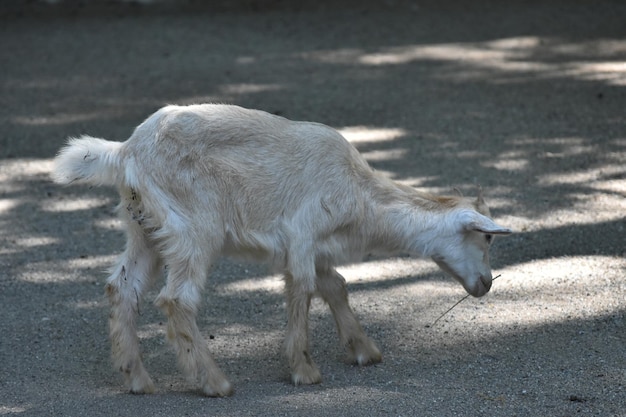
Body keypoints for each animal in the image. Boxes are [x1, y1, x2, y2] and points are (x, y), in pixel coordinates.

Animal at [52, 104, 512, 396]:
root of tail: (126, 153)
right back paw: (214, 383)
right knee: (176, 299)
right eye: (487, 237)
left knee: (121, 288)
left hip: (144, 228)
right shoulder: (303, 234)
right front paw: (304, 370)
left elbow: (335, 285)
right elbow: (304, 289)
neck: (362, 198)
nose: (486, 284)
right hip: (192, 227)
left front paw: (364, 350)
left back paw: (137, 379)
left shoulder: (318, 247)